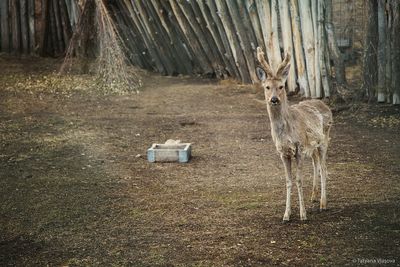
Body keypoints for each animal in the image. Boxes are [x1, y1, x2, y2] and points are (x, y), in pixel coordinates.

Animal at [256, 47, 334, 222]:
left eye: (281, 86)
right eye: (267, 87)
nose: (274, 99)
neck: (285, 132)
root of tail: (324, 104)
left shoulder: (298, 148)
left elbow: (299, 179)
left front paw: (303, 214)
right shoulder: (283, 152)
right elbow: (288, 180)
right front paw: (286, 215)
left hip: (325, 139)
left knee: (324, 168)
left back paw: (323, 204)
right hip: (313, 146)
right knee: (317, 165)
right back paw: (313, 196)